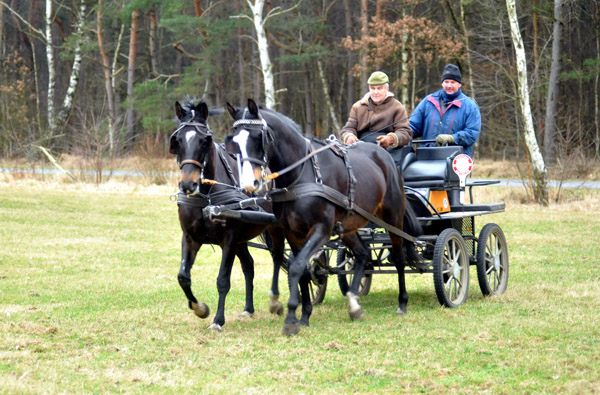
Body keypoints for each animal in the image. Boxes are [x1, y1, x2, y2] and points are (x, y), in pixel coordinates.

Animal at [169, 99, 286, 332]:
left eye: (204, 141)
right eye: (177, 141)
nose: (188, 184)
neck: (207, 196)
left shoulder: (229, 239)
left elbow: (223, 280)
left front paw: (217, 320)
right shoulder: (190, 237)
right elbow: (183, 277)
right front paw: (200, 309)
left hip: (275, 228)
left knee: (279, 257)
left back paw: (278, 301)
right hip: (242, 239)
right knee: (249, 266)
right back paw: (248, 309)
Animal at [226, 100, 422, 338]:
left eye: (257, 137)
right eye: (234, 141)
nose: (248, 184)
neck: (301, 175)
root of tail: (383, 155)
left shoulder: (321, 229)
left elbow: (296, 266)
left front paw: (291, 318)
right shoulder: (293, 233)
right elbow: (301, 270)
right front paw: (304, 314)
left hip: (393, 218)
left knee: (400, 257)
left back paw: (402, 303)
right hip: (348, 226)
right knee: (363, 254)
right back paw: (354, 304)